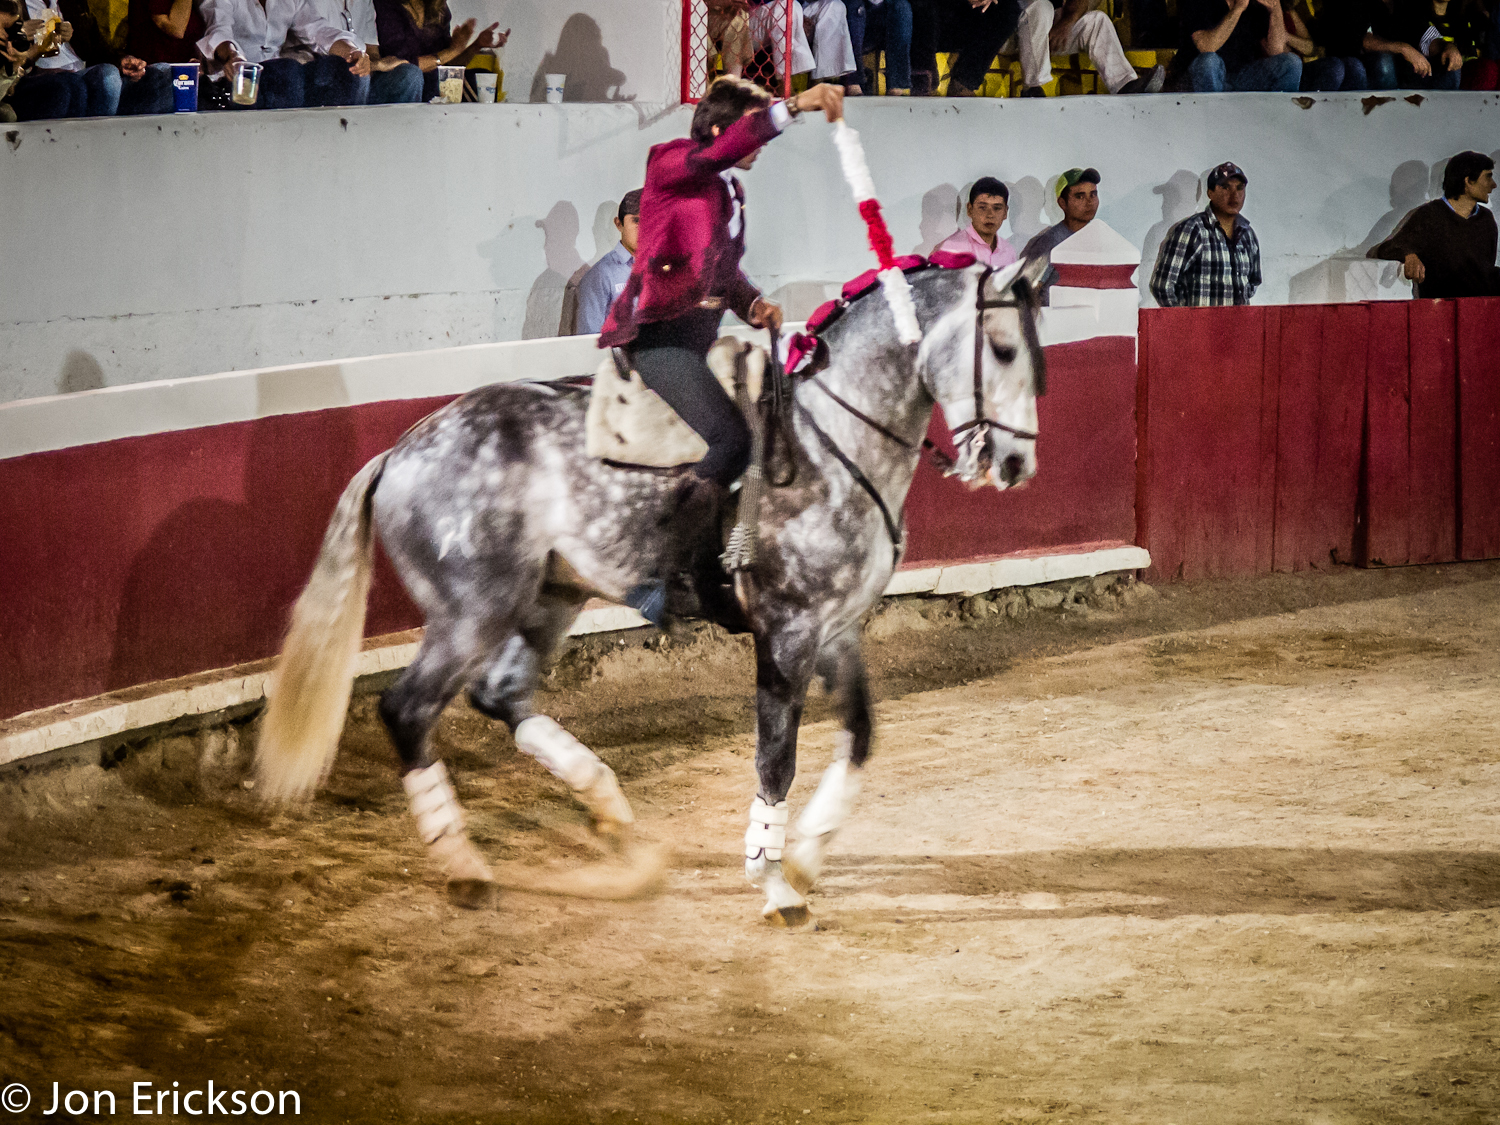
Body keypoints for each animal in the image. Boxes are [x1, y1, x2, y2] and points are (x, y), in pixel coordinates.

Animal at [254, 254, 1047, 927]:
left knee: (501, 696)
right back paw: (466, 865)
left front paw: (805, 854)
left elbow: (860, 734)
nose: (1014, 464)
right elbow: (776, 758)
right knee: (409, 709)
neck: (833, 438)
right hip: (471, 612)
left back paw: (610, 814)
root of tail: (399, 451)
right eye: (1004, 348)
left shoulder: (837, 629)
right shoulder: (787, 632)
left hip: (550, 598)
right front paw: (774, 882)